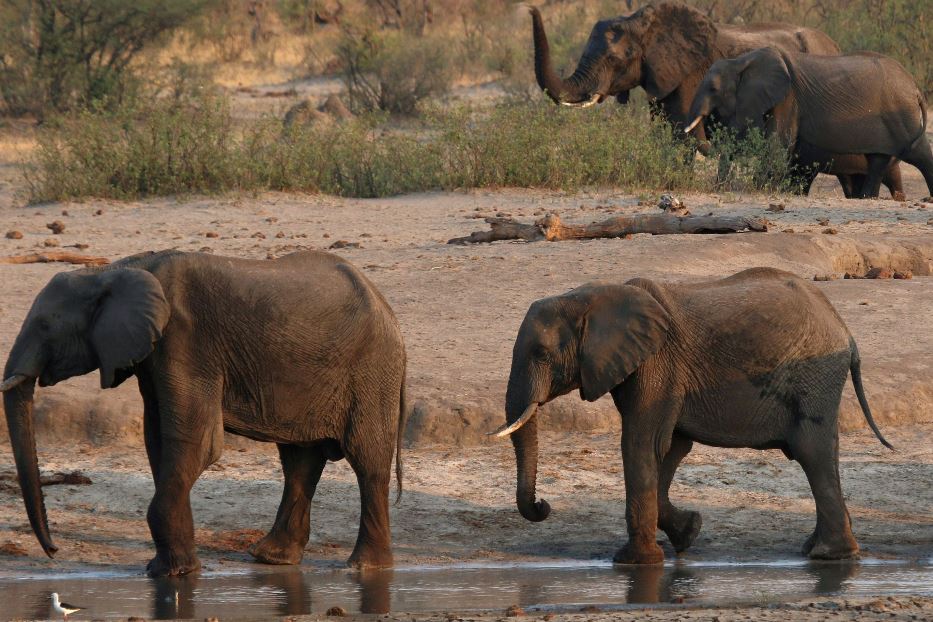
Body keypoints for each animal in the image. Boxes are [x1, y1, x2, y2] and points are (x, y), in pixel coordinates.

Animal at [1, 247, 406, 576]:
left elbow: (197, 442)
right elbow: (158, 439)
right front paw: (171, 568)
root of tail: (388, 309)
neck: (117, 269)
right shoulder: (155, 353)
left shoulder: (185, 340)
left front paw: (172, 574)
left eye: (45, 326)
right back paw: (271, 558)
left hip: (372, 371)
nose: (53, 551)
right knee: (299, 461)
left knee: (367, 461)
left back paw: (365, 567)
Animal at [492, 266, 892, 568]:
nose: (543, 506)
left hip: (814, 377)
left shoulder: (657, 365)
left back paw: (829, 555)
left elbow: (642, 444)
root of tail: (845, 330)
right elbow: (671, 449)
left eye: (542, 354)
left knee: (812, 451)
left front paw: (633, 563)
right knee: (822, 453)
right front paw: (690, 532)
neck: (594, 297)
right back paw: (817, 550)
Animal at [532, 1, 904, 197]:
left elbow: (680, 135)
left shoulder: (688, 75)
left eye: (614, 59)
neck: (646, 21)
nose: (533, 8)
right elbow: (666, 134)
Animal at [684, 48, 932, 200]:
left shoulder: (787, 100)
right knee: (878, 160)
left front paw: (758, 189)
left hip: (902, 116)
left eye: (713, 89)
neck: (742, 61)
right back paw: (866, 198)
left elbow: (777, 146)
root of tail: (915, 87)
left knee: (918, 154)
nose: (717, 188)